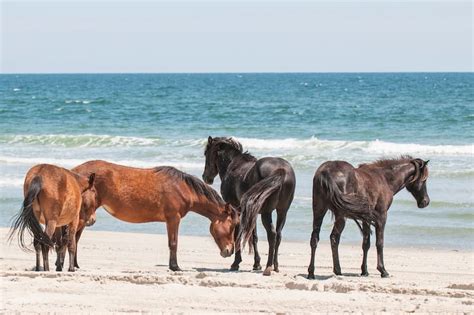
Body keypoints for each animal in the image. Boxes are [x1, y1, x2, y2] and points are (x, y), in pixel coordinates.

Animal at [72, 160, 239, 272]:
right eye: (232, 226)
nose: (229, 251)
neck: (182, 188)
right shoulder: (173, 219)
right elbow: (173, 243)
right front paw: (175, 267)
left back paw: (75, 265)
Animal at [202, 137, 294, 276]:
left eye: (206, 153)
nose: (205, 177)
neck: (233, 166)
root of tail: (281, 170)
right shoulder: (252, 211)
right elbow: (253, 236)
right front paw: (256, 264)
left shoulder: (236, 209)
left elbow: (237, 235)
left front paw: (236, 263)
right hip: (282, 211)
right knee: (278, 235)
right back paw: (276, 266)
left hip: (267, 212)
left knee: (272, 234)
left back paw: (268, 267)